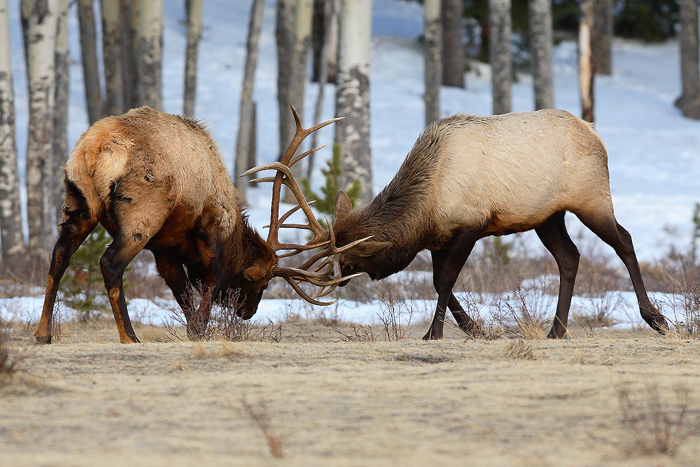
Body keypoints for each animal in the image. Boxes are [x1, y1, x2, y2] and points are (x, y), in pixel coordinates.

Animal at [35, 106, 360, 344]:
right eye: (264, 282)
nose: (248, 312)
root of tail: (94, 150)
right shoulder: (208, 228)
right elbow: (211, 280)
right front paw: (202, 329)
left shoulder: (163, 248)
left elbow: (180, 291)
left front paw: (192, 327)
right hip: (141, 214)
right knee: (110, 263)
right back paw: (129, 336)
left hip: (79, 204)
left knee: (59, 256)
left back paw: (43, 333)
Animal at [247, 109, 668, 340]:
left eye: (349, 260)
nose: (328, 280)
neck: (426, 206)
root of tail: (596, 134)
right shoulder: (438, 239)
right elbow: (439, 282)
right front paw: (475, 328)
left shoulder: (470, 225)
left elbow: (447, 279)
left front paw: (433, 333)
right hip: (547, 216)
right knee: (570, 257)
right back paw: (556, 330)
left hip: (591, 198)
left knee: (625, 241)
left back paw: (655, 318)